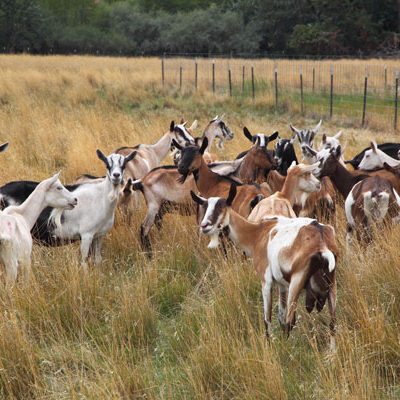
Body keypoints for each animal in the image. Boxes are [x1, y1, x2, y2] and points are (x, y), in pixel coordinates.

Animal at [191, 184, 338, 350]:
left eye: (221, 208)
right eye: (205, 207)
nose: (204, 226)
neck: (258, 234)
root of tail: (321, 243)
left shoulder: (266, 281)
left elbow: (268, 319)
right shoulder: (282, 284)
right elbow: (280, 317)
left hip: (297, 282)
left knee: (290, 321)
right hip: (331, 285)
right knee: (332, 323)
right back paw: (331, 353)